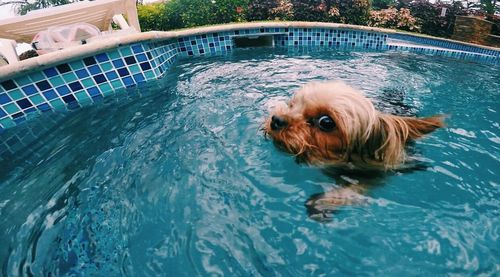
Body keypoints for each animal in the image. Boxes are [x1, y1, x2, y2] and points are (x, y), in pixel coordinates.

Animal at [264, 81, 444, 221]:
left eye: (326, 122)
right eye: (292, 104)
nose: (276, 120)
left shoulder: (376, 174)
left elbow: (356, 189)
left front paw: (323, 202)